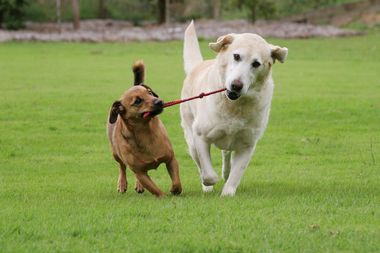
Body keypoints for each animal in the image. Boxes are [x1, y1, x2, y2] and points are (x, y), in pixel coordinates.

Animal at [107, 60, 183, 197]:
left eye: (150, 93)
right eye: (138, 101)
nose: (159, 101)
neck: (145, 132)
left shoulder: (171, 159)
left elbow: (176, 180)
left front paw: (175, 190)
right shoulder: (139, 172)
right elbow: (155, 189)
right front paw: (164, 197)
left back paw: (139, 186)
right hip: (115, 153)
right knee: (122, 167)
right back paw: (122, 184)